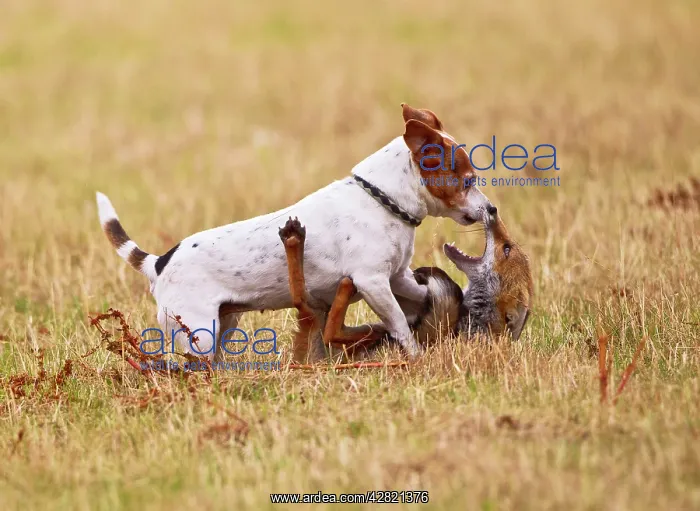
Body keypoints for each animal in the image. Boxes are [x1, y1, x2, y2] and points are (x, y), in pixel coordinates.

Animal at [278, 207, 533, 361]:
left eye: (506, 248)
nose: (492, 210)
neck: (467, 322)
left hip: (347, 331)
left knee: (318, 317)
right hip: (368, 329)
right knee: (310, 306)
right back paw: (294, 238)